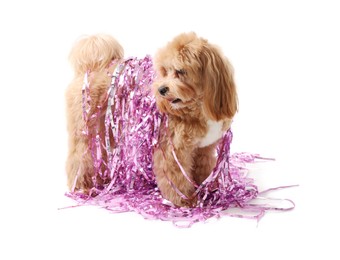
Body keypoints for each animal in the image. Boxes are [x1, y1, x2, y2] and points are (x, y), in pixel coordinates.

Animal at [65, 32, 236, 207]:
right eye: (165, 71)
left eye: (181, 71)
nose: (161, 89)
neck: (197, 106)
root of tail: (93, 66)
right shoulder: (173, 150)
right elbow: (175, 178)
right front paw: (184, 200)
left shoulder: (204, 149)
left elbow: (204, 168)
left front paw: (207, 189)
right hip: (85, 128)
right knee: (79, 157)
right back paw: (82, 185)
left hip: (106, 129)